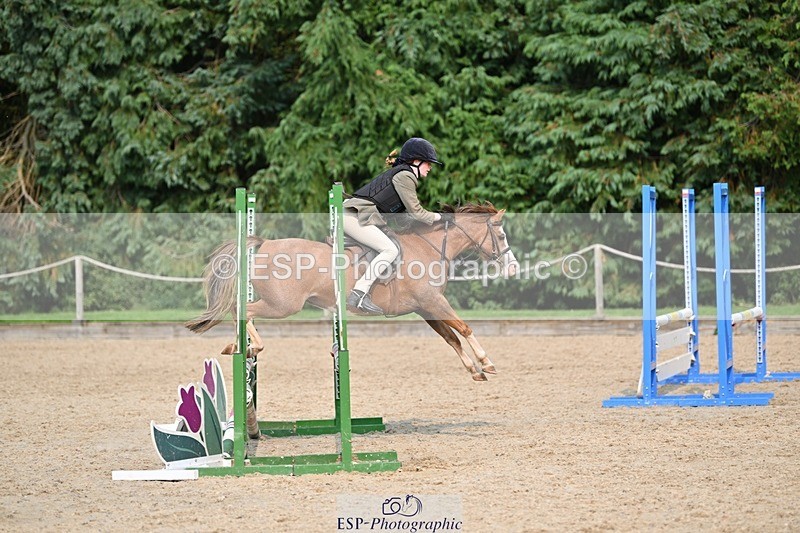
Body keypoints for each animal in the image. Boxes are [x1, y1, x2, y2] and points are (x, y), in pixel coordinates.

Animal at [186, 204, 519, 381]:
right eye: (502, 235)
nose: (514, 268)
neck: (429, 247)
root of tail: (265, 243)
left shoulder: (425, 307)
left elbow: (451, 337)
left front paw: (474, 370)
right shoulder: (433, 301)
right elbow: (464, 328)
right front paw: (487, 362)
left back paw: (238, 346)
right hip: (283, 305)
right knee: (241, 310)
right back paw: (250, 346)